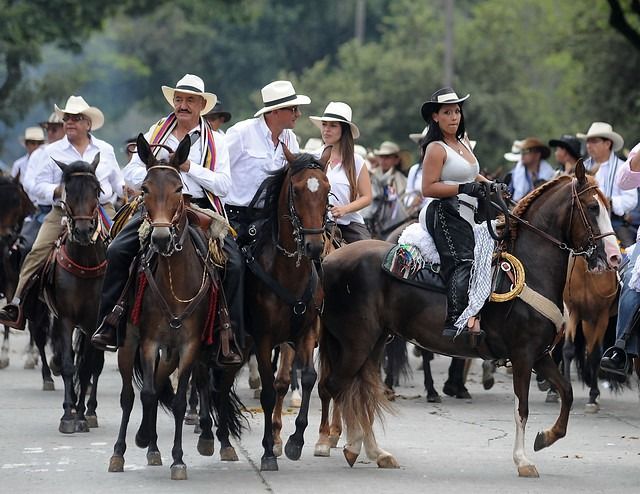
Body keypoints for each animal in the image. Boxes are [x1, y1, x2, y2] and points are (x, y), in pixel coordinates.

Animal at [241, 148, 330, 470]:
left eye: (327, 189)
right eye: (297, 189)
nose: (314, 246)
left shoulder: (306, 333)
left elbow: (308, 378)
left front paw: (295, 440)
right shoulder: (263, 338)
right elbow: (269, 391)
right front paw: (269, 449)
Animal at [320, 163, 620, 478]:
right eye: (592, 207)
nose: (613, 257)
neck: (531, 271)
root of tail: (330, 260)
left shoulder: (540, 356)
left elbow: (567, 392)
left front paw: (546, 437)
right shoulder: (523, 355)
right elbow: (522, 408)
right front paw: (522, 460)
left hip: (375, 343)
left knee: (361, 392)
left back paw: (375, 452)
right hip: (356, 342)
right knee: (335, 386)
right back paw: (340, 444)